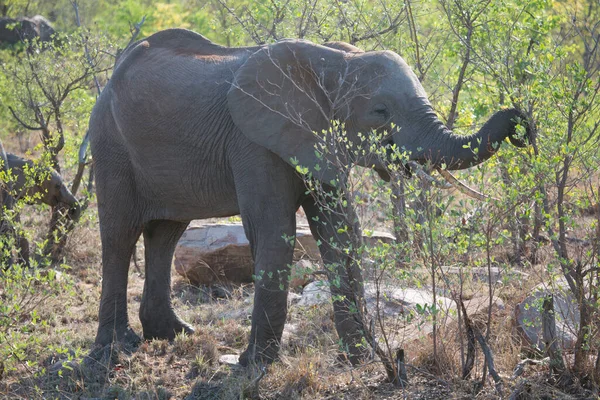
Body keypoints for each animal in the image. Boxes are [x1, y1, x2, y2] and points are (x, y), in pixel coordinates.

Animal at [86, 27, 528, 366]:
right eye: (380, 112)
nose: (521, 123)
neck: (333, 62)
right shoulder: (254, 141)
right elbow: (274, 230)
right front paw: (254, 366)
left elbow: (340, 230)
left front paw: (360, 359)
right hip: (110, 143)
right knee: (120, 235)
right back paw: (115, 349)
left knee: (166, 232)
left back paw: (173, 334)